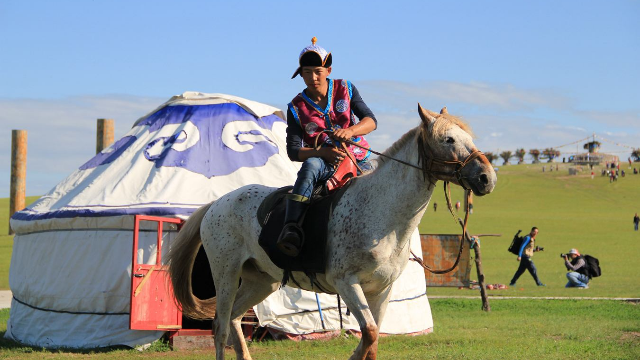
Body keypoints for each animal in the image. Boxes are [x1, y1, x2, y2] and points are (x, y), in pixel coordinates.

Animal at [165, 105, 496, 360]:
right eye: (448, 138)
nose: (487, 178)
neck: (383, 213)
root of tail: (216, 204)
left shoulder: (382, 290)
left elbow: (372, 340)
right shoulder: (347, 282)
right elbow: (369, 334)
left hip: (261, 281)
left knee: (234, 319)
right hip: (226, 273)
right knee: (220, 326)